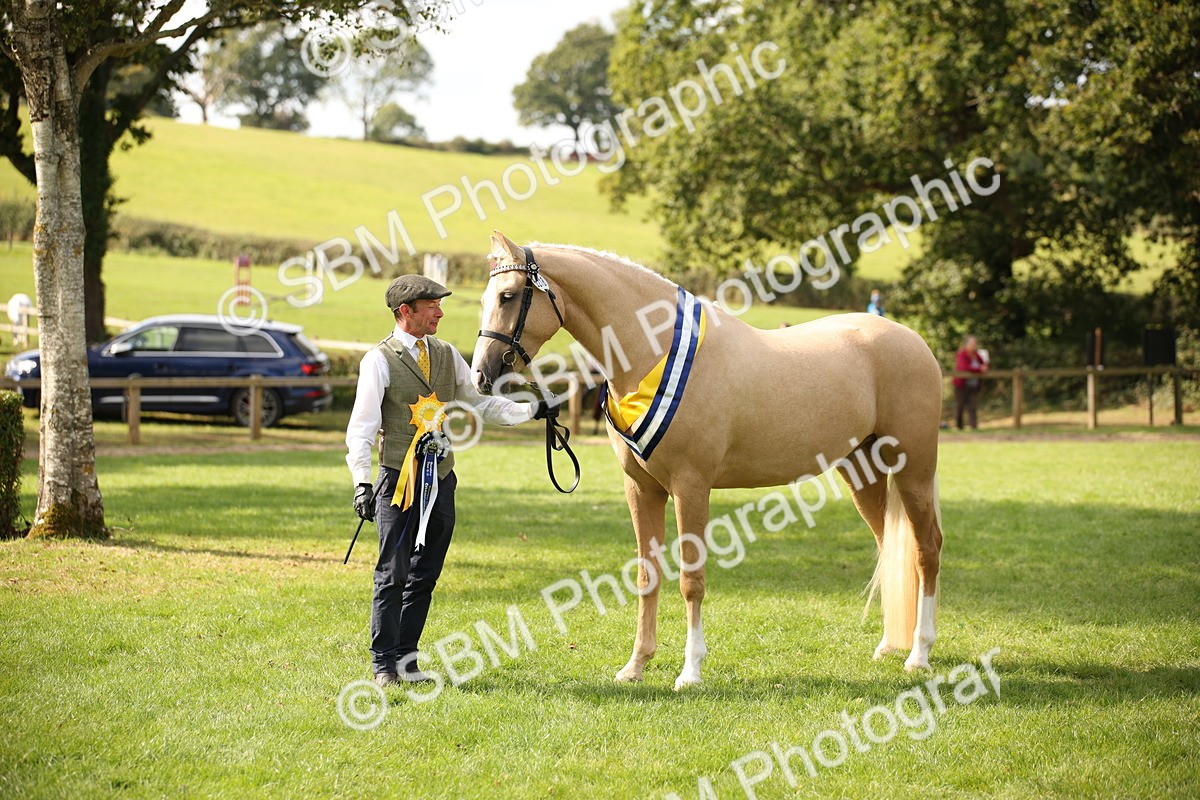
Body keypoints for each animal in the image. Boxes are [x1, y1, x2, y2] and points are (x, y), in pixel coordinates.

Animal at [472, 231, 944, 690]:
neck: (655, 352)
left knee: (926, 549)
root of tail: (914, 341)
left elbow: (691, 580)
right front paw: (635, 666)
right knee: (889, 547)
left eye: (508, 296)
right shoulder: (641, 489)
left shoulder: (691, 487)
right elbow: (647, 576)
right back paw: (888, 646)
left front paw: (690, 672)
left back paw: (919, 655)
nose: (480, 374)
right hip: (862, 473)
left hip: (913, 471)